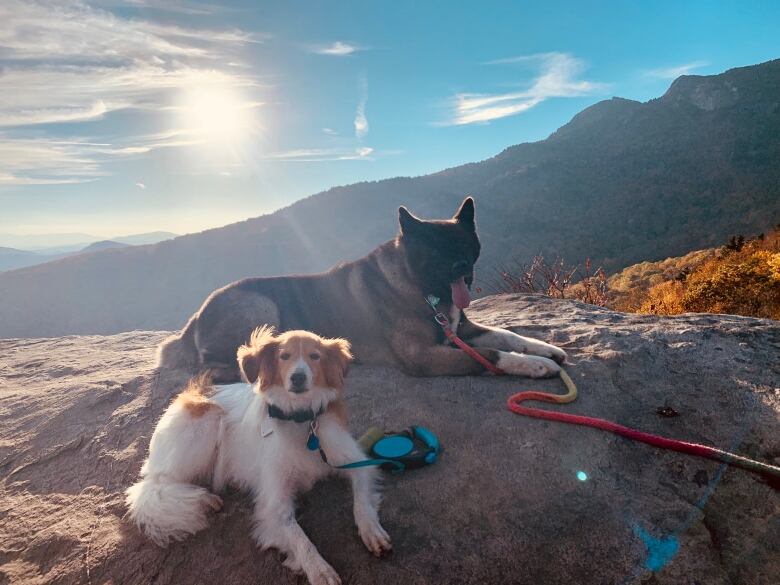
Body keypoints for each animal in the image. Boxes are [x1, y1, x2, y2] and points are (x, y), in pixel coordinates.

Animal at [126, 326, 390, 584]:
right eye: (284, 356)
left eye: (315, 356)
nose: (298, 377)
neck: (300, 420)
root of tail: (190, 395)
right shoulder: (273, 501)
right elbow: (298, 536)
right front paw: (319, 569)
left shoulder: (356, 462)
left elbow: (362, 501)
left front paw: (371, 531)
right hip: (208, 421)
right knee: (156, 486)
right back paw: (204, 498)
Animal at [157, 196, 568, 380]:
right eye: (436, 251)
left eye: (466, 246)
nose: (462, 268)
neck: (420, 287)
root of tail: (194, 320)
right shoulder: (424, 356)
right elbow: (489, 356)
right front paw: (535, 364)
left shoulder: (460, 330)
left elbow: (506, 335)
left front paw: (543, 348)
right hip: (260, 304)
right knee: (223, 360)